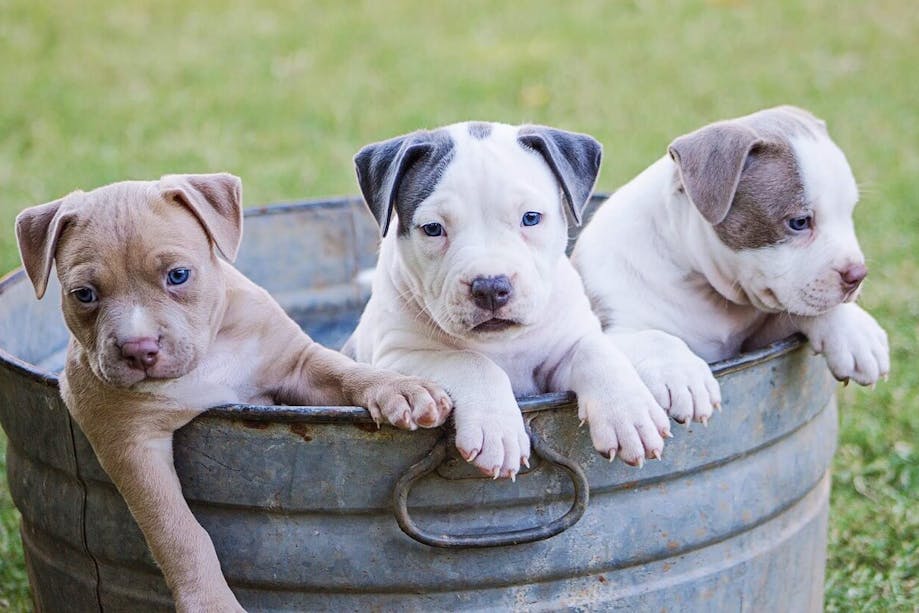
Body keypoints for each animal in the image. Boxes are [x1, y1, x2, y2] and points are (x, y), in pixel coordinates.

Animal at [16, 173, 454, 612]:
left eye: (178, 275)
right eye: (84, 295)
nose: (139, 349)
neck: (208, 355)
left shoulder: (299, 366)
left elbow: (345, 372)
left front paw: (401, 389)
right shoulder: (130, 444)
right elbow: (177, 531)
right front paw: (210, 602)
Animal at [342, 123, 672, 478]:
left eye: (530, 218)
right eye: (432, 229)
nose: (490, 287)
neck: (501, 343)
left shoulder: (562, 351)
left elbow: (594, 350)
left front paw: (628, 411)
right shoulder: (397, 357)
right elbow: (471, 361)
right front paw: (497, 431)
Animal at [576, 106, 892, 426]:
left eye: (849, 212)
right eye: (799, 222)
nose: (858, 274)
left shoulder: (760, 338)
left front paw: (856, 332)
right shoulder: (613, 326)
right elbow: (654, 337)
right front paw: (683, 375)